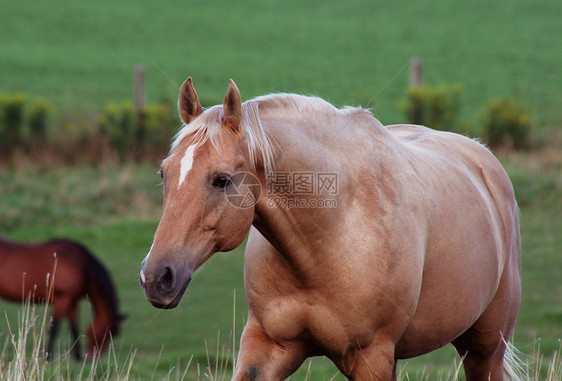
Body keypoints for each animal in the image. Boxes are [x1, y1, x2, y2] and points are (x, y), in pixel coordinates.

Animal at [138, 78, 520, 380]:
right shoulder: (266, 346)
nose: (156, 277)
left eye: (221, 179)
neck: (325, 238)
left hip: (485, 350)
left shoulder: (371, 357)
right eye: (164, 173)